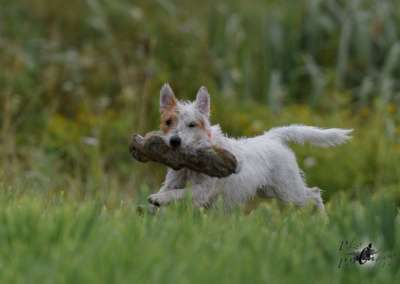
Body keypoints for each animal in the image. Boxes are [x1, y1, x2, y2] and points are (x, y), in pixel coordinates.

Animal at [148, 83, 352, 212]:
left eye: (192, 125)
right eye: (168, 122)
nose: (175, 141)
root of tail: (272, 137)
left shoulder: (203, 190)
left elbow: (180, 192)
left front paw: (158, 199)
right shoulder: (173, 182)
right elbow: (171, 190)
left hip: (288, 190)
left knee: (314, 195)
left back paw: (323, 220)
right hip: (270, 190)